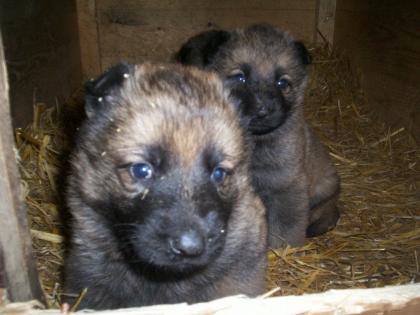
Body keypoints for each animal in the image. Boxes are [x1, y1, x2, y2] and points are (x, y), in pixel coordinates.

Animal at [176, 23, 340, 248]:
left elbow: (284, 229)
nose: (263, 110)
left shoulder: (285, 187)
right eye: (240, 77)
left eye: (283, 83)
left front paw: (281, 249)